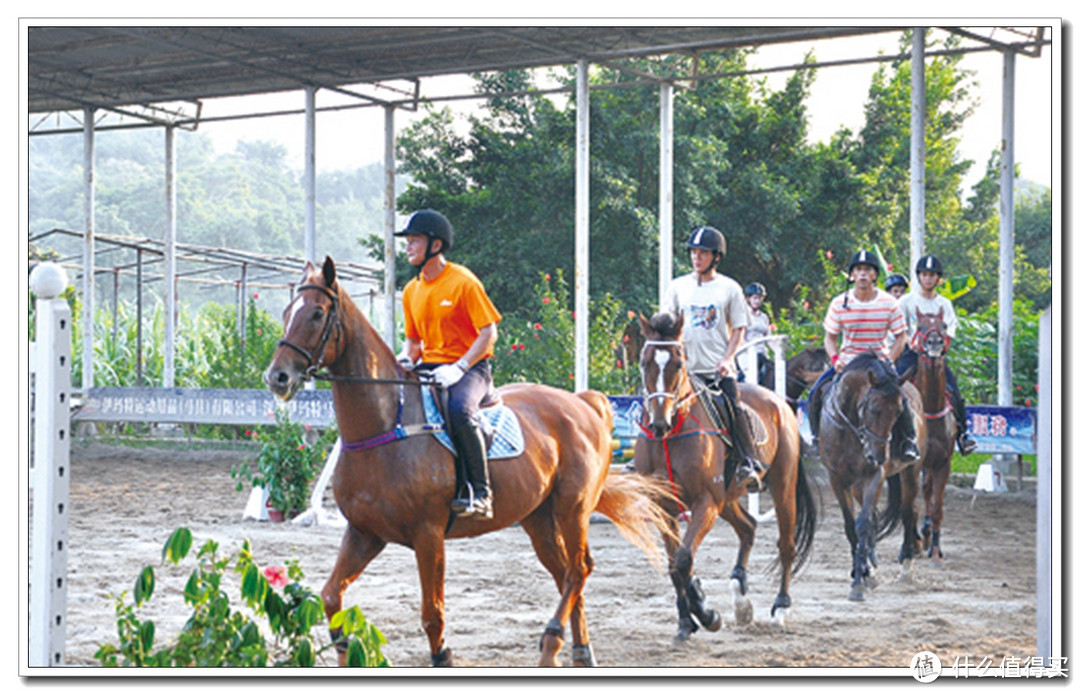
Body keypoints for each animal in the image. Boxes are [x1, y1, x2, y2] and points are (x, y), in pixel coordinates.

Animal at [263, 256, 673, 669]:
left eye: (317, 313)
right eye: (286, 311)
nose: (276, 377)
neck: (387, 423)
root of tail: (583, 403)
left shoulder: (428, 535)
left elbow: (432, 614)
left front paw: (443, 655)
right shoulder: (364, 533)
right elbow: (331, 597)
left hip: (572, 508)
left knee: (578, 569)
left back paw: (552, 643)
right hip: (539, 517)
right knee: (567, 574)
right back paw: (580, 651)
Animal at [630, 313, 812, 643]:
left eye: (678, 363)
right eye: (644, 361)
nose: (660, 422)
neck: (672, 435)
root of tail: (780, 403)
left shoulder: (705, 502)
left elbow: (683, 559)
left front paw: (705, 613)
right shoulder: (664, 507)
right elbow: (674, 566)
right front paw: (685, 621)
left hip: (781, 487)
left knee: (786, 545)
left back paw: (780, 608)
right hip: (727, 498)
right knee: (748, 527)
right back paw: (741, 600)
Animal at [816, 356, 928, 600]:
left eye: (899, 412)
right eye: (874, 409)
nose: (878, 456)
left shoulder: (874, 476)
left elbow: (863, 524)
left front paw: (859, 582)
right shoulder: (837, 479)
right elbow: (852, 526)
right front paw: (863, 573)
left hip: (911, 472)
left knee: (909, 512)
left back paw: (906, 566)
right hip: (857, 486)